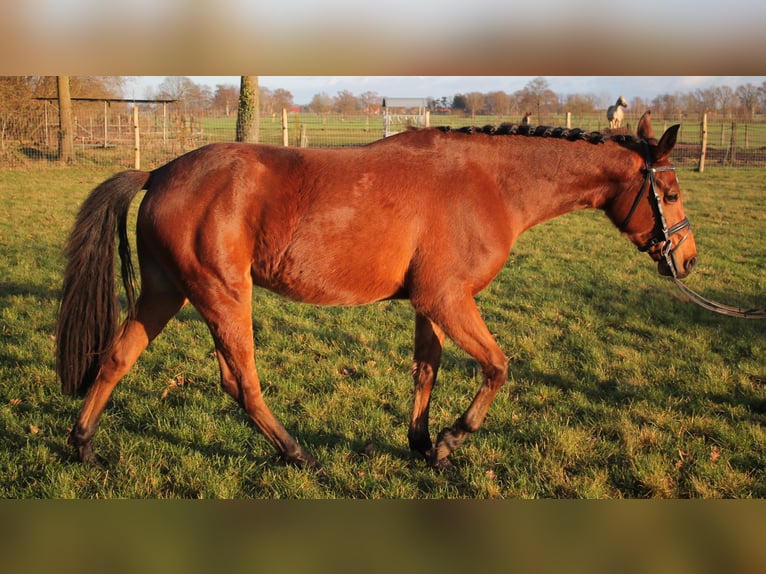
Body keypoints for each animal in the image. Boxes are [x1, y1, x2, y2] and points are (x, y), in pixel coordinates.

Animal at [57, 111, 700, 472]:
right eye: (668, 194)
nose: (688, 259)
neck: (488, 183)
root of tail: (160, 172)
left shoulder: (430, 304)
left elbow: (427, 369)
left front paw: (421, 443)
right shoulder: (448, 301)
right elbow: (496, 367)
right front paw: (448, 444)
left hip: (168, 292)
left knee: (118, 359)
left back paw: (83, 445)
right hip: (222, 297)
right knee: (242, 383)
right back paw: (298, 455)